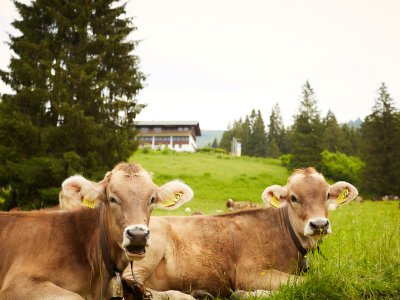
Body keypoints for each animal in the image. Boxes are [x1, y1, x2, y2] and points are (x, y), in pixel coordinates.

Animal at [61, 168, 358, 298]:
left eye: (326, 195)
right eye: (294, 198)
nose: (319, 224)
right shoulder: (249, 272)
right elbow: (306, 283)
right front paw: (248, 295)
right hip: (150, 246)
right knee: (135, 285)